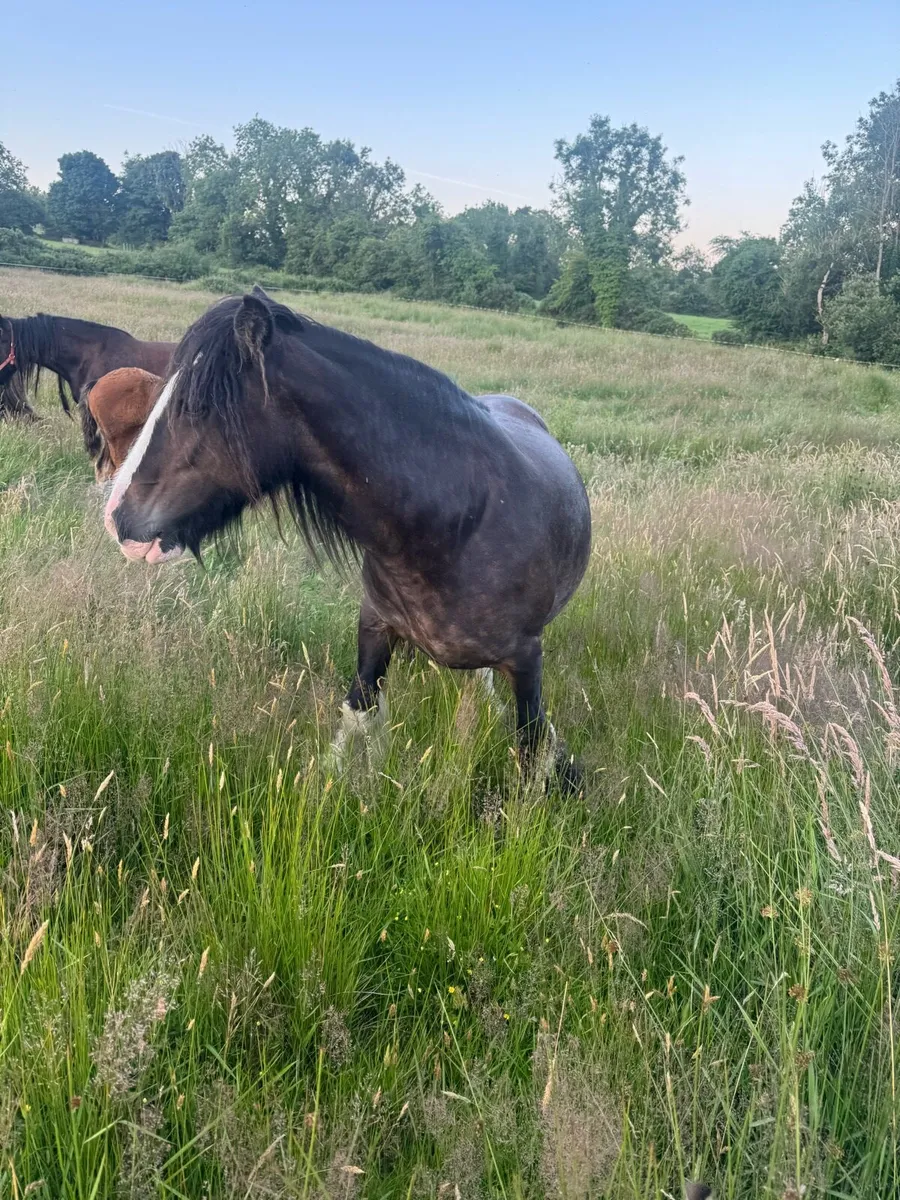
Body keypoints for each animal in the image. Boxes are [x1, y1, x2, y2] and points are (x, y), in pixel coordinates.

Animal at [103, 288, 592, 787]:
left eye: (197, 408)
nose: (117, 519)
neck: (459, 524)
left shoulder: (527, 660)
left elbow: (532, 747)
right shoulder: (375, 627)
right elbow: (359, 714)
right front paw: (332, 783)